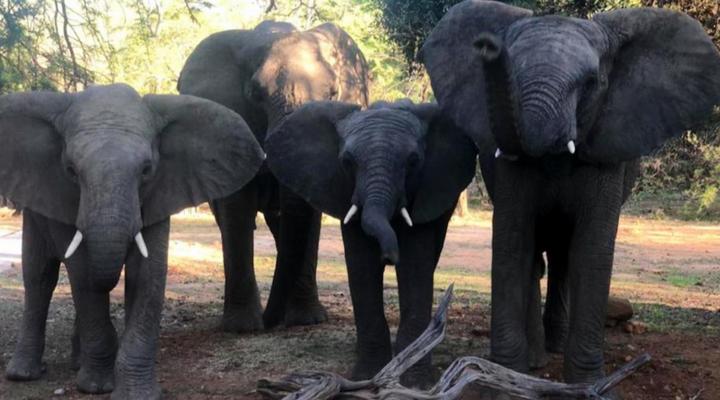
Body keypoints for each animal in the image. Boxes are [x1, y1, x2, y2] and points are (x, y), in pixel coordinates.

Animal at [2, 83, 264, 399]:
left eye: (146, 170)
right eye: (71, 171)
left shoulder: (161, 190)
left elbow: (147, 274)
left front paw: (135, 393)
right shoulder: (60, 195)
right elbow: (83, 274)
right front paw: (96, 387)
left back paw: (77, 362)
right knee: (39, 277)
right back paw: (23, 374)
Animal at [177, 20, 370, 332]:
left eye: (332, 94)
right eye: (255, 94)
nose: (270, 322)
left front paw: (306, 321)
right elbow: (236, 210)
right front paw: (242, 328)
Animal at [265, 99, 477, 386]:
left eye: (413, 161)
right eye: (346, 162)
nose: (387, 257)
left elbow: (414, 267)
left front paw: (415, 382)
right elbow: (362, 266)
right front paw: (366, 376)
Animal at [422, 0, 720, 386]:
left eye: (591, 83)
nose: (488, 45)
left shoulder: (607, 147)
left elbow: (591, 250)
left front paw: (590, 385)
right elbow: (513, 242)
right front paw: (505, 376)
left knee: (564, 257)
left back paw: (556, 347)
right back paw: (538, 358)